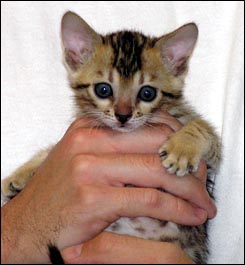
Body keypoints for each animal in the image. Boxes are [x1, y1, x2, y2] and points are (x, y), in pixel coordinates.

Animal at [1, 11, 222, 262]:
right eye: (103, 89)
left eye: (147, 93)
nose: (123, 116)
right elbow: (52, 148)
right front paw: (20, 174)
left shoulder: (207, 159)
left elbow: (204, 129)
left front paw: (182, 148)